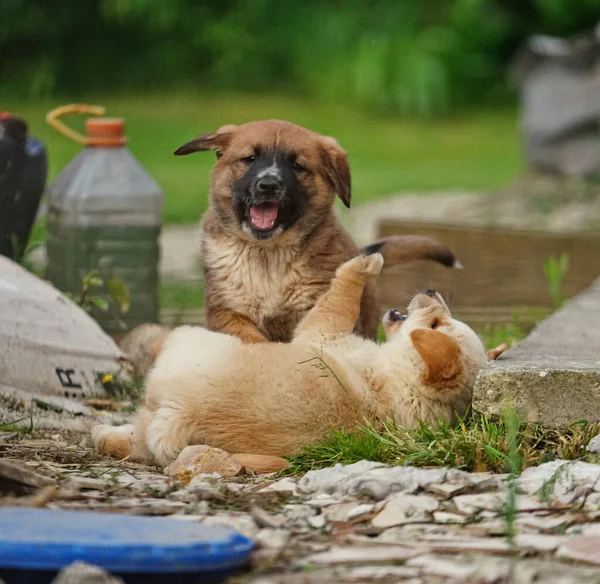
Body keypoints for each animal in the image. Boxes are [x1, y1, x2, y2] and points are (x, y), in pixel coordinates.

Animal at [92, 254, 488, 470]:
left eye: (436, 325)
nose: (432, 290)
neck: (398, 381)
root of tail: (179, 415)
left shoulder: (321, 332)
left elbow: (340, 298)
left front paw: (362, 266)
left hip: (192, 340)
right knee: (134, 441)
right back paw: (106, 436)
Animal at [173, 120, 460, 344]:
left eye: (297, 166)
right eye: (250, 159)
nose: (268, 185)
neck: (268, 256)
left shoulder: (317, 305)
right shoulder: (226, 312)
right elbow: (253, 341)